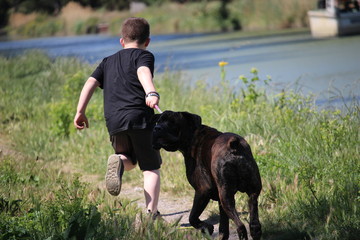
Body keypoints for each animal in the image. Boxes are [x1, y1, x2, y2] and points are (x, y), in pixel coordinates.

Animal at [152, 111, 262, 240]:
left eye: (172, 123)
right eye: (158, 121)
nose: (157, 128)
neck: (192, 136)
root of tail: (235, 147)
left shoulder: (202, 191)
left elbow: (192, 217)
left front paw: (207, 228)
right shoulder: (219, 200)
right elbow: (223, 226)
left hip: (226, 197)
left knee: (240, 226)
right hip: (251, 194)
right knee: (254, 224)